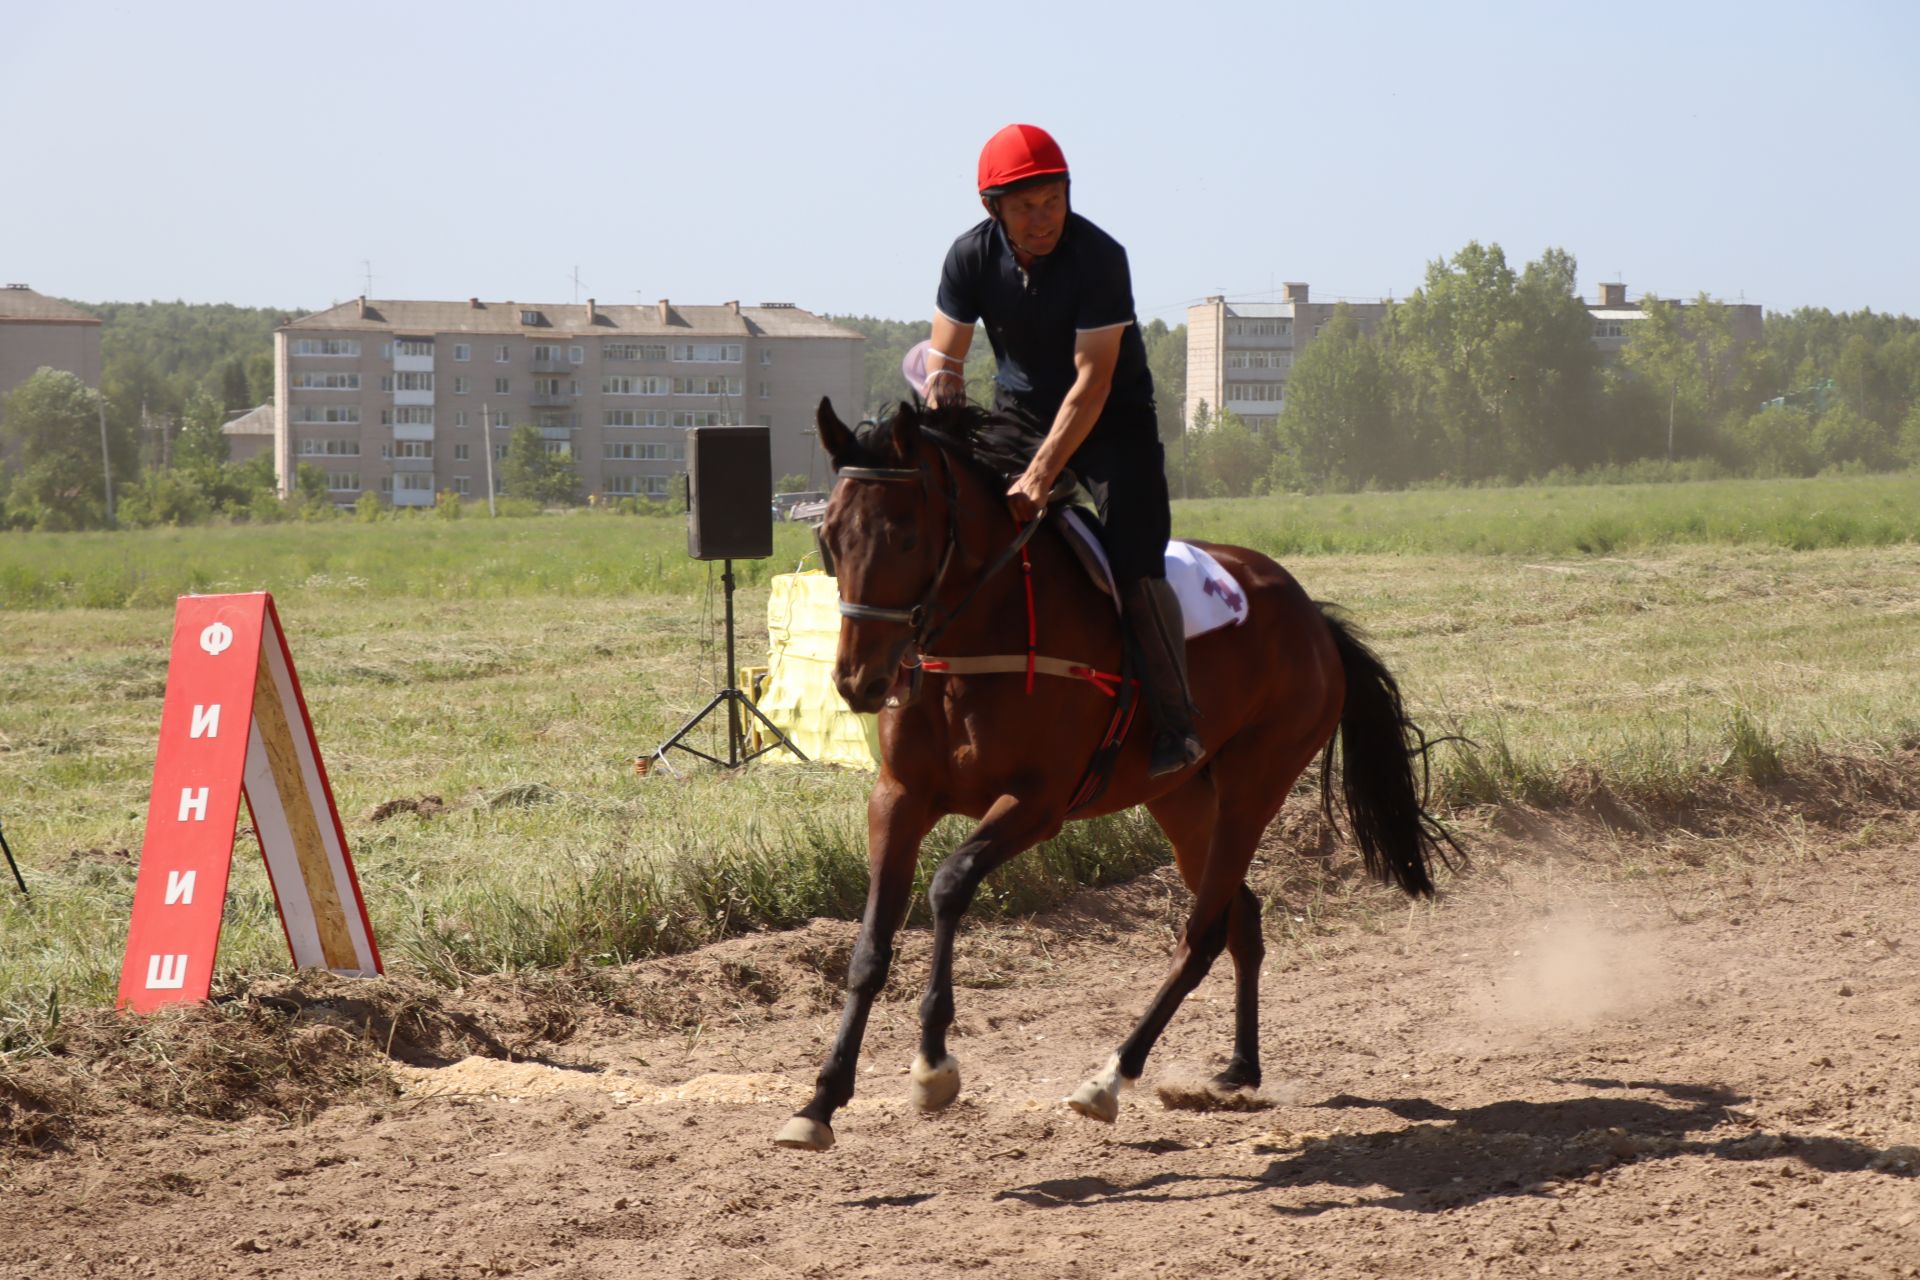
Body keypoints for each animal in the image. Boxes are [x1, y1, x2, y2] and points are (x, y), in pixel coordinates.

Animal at [768, 397, 1451, 1151]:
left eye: (908, 536)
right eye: (830, 538)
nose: (858, 681)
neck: (980, 638)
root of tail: (1315, 618)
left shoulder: (1039, 802)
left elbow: (949, 884)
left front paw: (933, 1062)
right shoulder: (899, 797)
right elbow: (869, 946)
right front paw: (821, 1099)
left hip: (1255, 787)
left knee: (1202, 936)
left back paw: (1111, 1076)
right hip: (1183, 799)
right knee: (1241, 916)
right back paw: (1239, 1068)